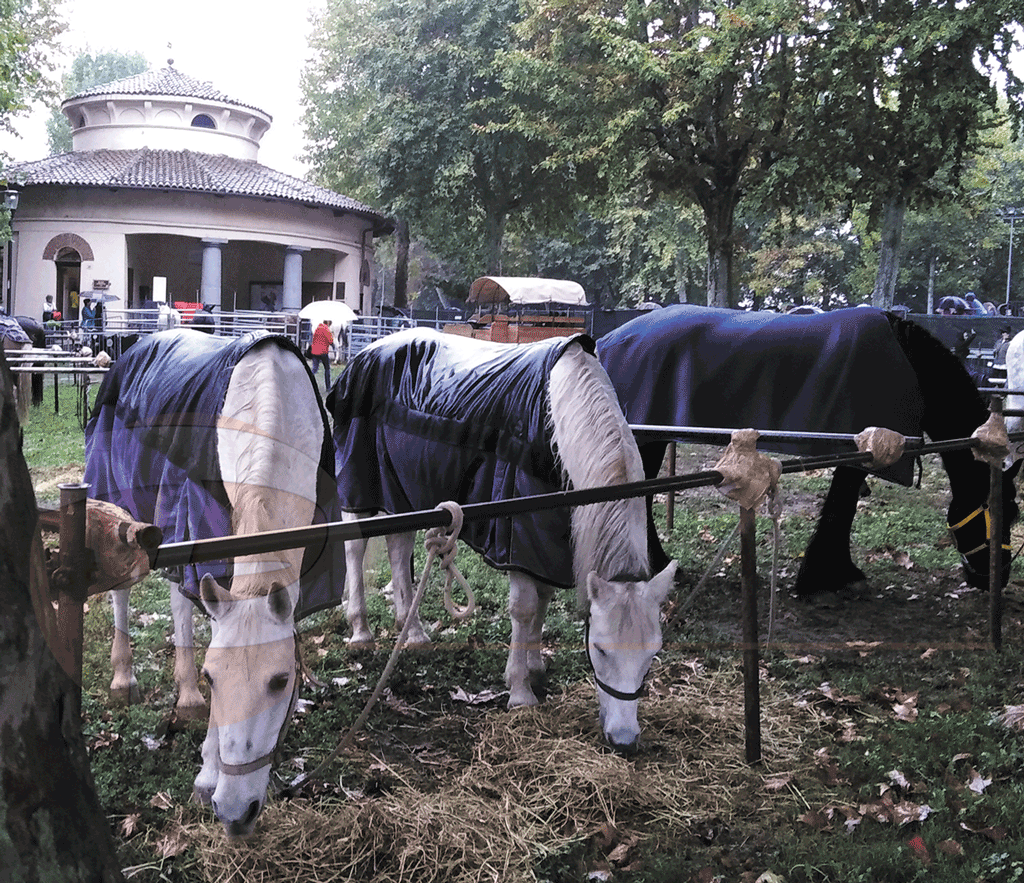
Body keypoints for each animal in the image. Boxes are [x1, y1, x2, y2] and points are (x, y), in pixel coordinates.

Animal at [83, 327, 339, 839]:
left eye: (281, 681)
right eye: (212, 676)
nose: (236, 813)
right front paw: (207, 774)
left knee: (178, 599)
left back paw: (184, 698)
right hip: (122, 499)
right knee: (124, 588)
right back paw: (126, 679)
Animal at [329, 327, 679, 758]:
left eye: (654, 652)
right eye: (599, 648)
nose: (625, 740)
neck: (557, 422)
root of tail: (370, 350)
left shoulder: (548, 543)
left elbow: (543, 600)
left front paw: (535, 669)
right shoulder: (519, 536)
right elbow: (524, 609)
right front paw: (520, 691)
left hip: (405, 492)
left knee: (399, 546)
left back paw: (413, 632)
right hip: (362, 482)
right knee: (355, 547)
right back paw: (360, 630)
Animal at [598, 305, 1019, 602]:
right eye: (1004, 511)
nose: (994, 580)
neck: (911, 364)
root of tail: (606, 340)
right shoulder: (857, 453)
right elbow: (842, 506)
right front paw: (829, 576)